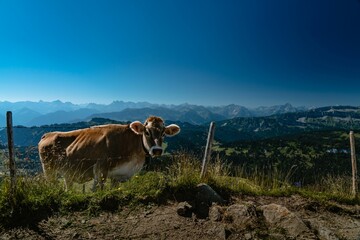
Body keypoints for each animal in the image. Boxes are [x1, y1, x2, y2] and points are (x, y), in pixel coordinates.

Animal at [38, 115, 181, 190]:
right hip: (49, 170)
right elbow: (98, 189)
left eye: (163, 133)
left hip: (66, 173)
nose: (157, 150)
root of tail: (48, 134)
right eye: (147, 132)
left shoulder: (120, 175)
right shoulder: (100, 170)